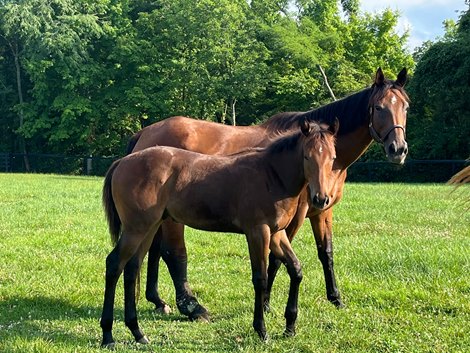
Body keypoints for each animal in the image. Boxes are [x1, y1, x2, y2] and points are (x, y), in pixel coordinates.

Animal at [101, 119, 340, 346]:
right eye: (307, 156)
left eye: (333, 158)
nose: (321, 199)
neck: (270, 175)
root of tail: (122, 162)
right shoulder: (258, 232)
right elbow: (260, 278)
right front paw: (261, 330)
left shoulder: (276, 234)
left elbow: (296, 270)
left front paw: (290, 327)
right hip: (136, 228)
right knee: (114, 265)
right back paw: (108, 335)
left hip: (148, 227)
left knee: (132, 267)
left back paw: (137, 332)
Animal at [126, 66, 410, 320]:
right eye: (378, 107)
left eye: (405, 107)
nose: (398, 149)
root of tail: (145, 133)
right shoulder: (292, 217)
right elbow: (275, 259)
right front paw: (266, 304)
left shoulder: (321, 211)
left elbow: (325, 253)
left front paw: (335, 298)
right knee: (173, 253)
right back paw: (192, 307)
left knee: (153, 250)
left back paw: (158, 300)